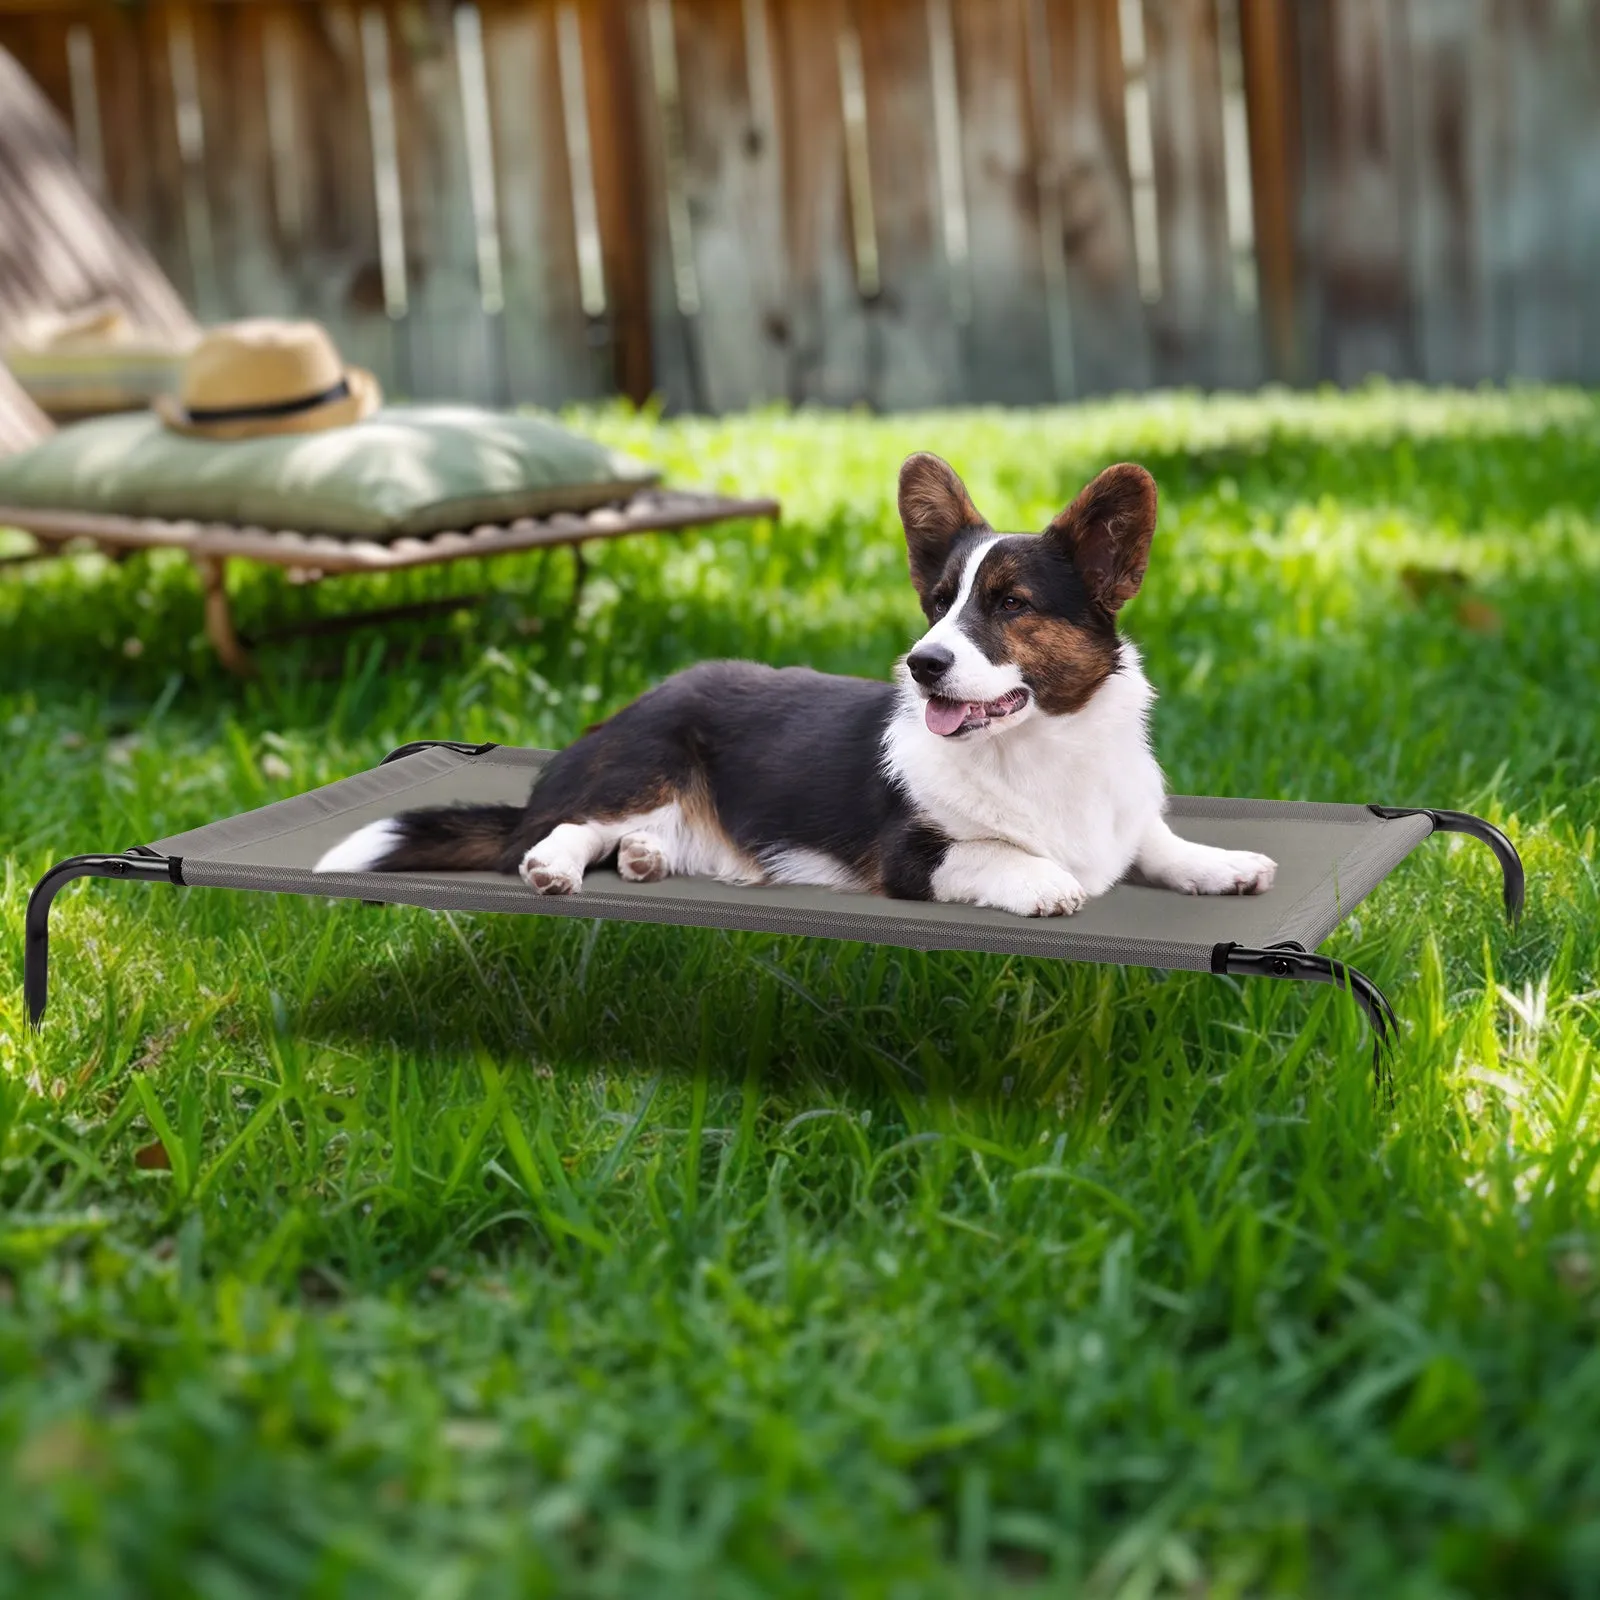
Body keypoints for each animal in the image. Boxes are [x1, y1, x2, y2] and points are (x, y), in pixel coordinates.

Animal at [312, 457, 1273, 921]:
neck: (1038, 750)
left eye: (1010, 604)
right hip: (647, 759)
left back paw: (648, 859)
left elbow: (1159, 841)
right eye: (939, 603)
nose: (922, 664)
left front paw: (1225, 864)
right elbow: (999, 854)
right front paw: (1046, 882)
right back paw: (561, 862)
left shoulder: (1126, 819)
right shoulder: (913, 855)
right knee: (555, 830)